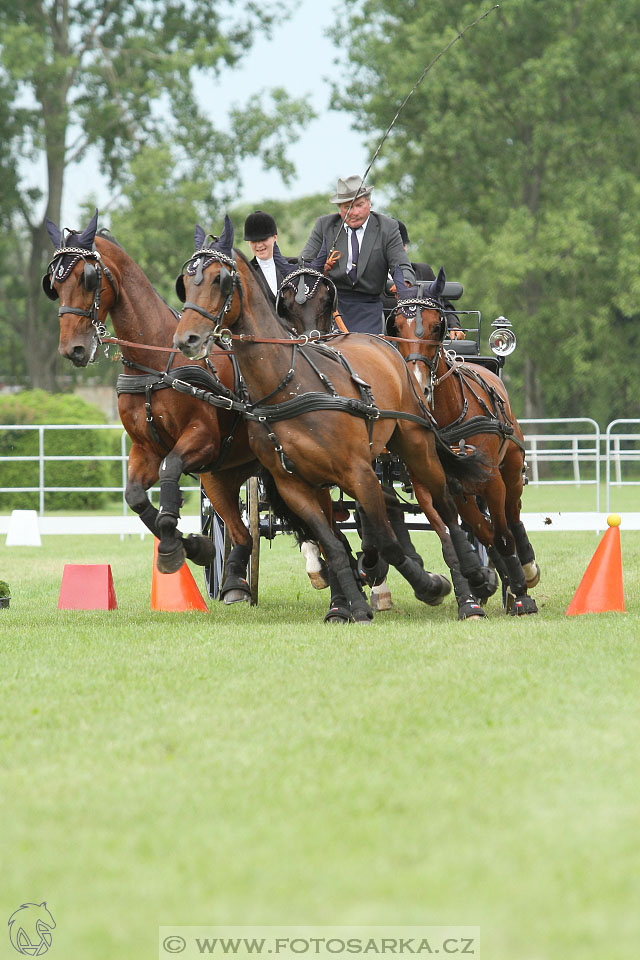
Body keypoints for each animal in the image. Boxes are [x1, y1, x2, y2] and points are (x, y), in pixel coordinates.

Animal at [40, 212, 258, 600]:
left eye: (88, 277)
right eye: (53, 283)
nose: (73, 350)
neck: (156, 365)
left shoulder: (202, 439)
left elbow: (171, 470)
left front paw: (174, 540)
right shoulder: (145, 447)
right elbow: (136, 497)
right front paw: (193, 546)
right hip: (220, 475)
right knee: (240, 527)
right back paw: (234, 580)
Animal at [170, 218, 496, 624]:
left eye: (220, 280)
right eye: (186, 280)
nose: (187, 337)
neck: (290, 385)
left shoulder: (360, 471)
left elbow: (383, 537)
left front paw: (424, 584)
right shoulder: (294, 484)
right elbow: (332, 541)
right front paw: (347, 603)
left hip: (416, 447)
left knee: (446, 510)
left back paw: (473, 583)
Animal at [390, 270, 540, 616]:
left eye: (437, 326)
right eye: (397, 328)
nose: (418, 386)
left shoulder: (492, 480)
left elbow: (502, 534)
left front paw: (520, 593)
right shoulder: (427, 483)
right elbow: (451, 539)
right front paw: (475, 587)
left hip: (511, 469)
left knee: (512, 518)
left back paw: (525, 570)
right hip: (465, 491)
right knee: (483, 527)